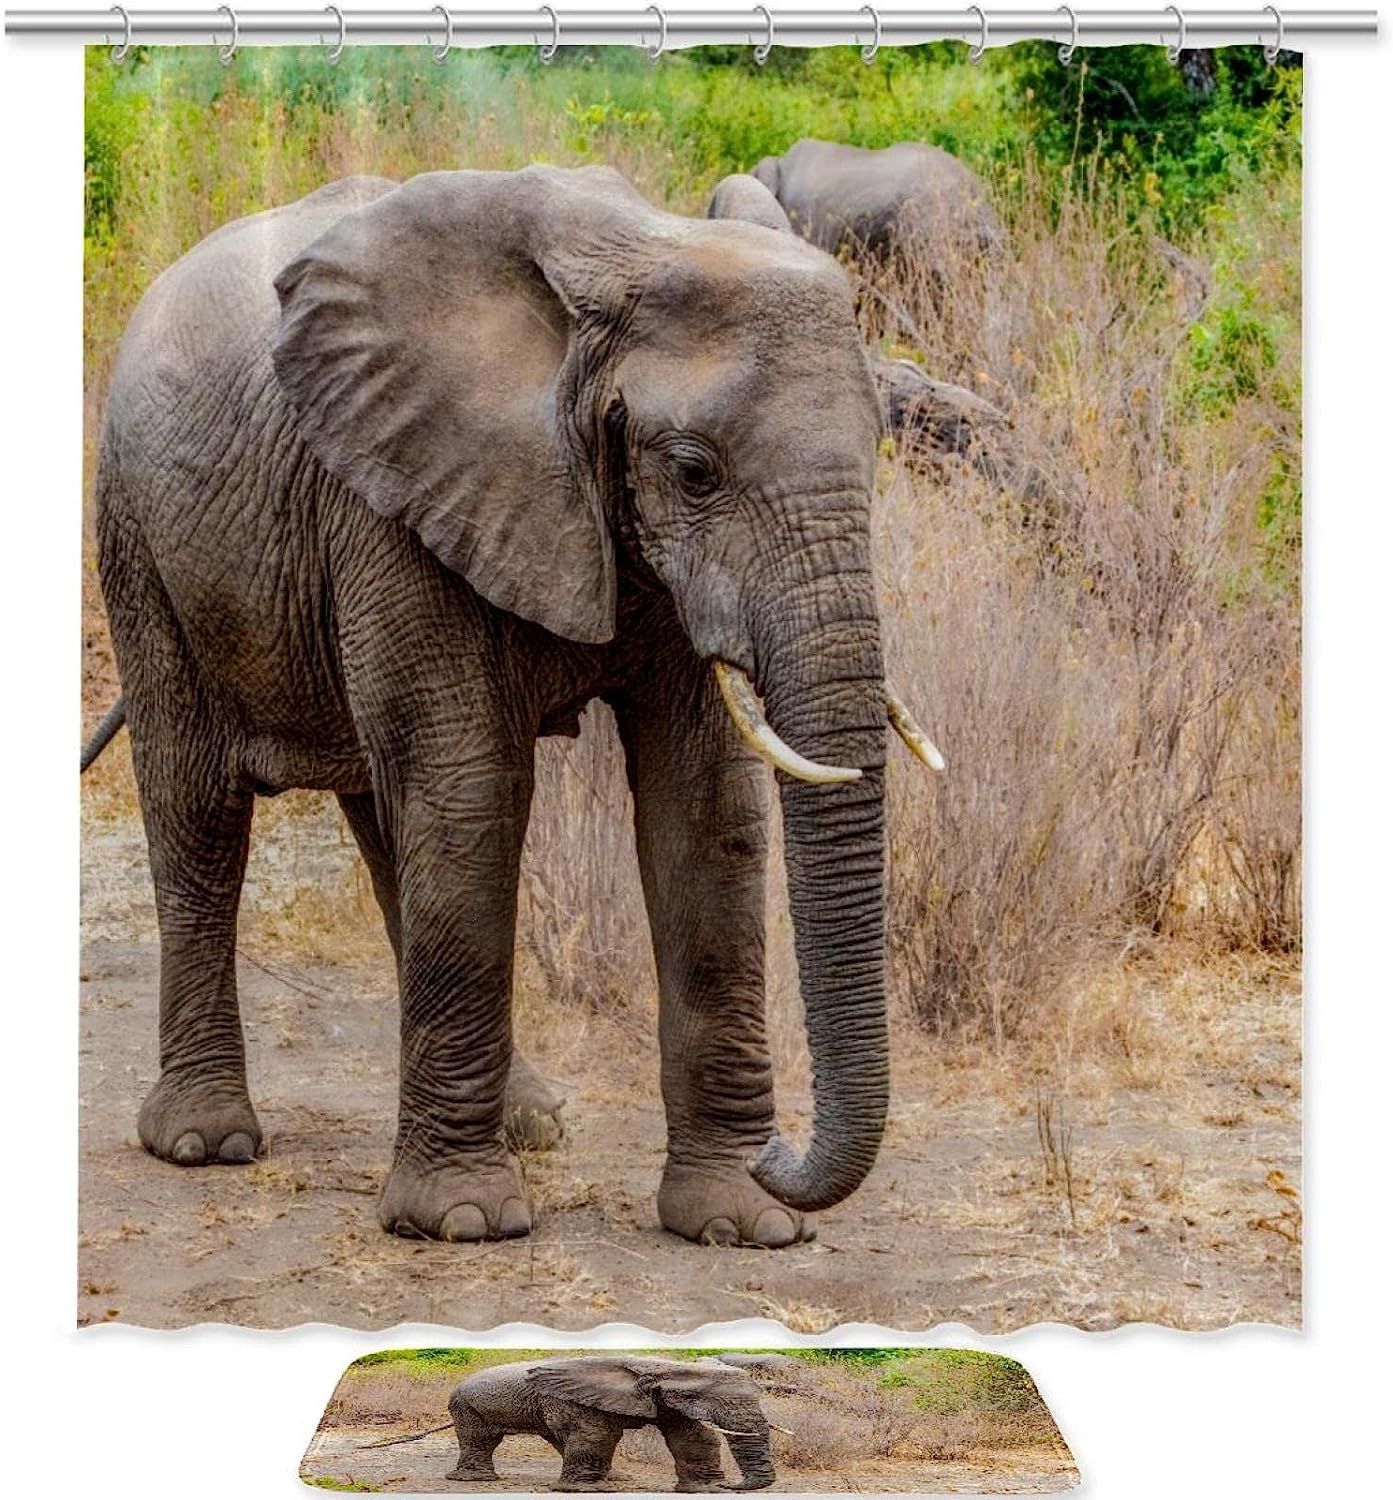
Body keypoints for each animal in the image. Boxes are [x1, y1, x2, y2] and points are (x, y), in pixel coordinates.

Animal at [88, 163, 944, 1247]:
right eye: (693, 470)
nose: (779, 1154)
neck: (632, 253)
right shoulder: (395, 494)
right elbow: (474, 790)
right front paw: (462, 1221)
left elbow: (705, 807)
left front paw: (739, 1221)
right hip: (139, 540)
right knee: (201, 810)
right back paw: (204, 1140)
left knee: (387, 822)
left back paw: (530, 1121)